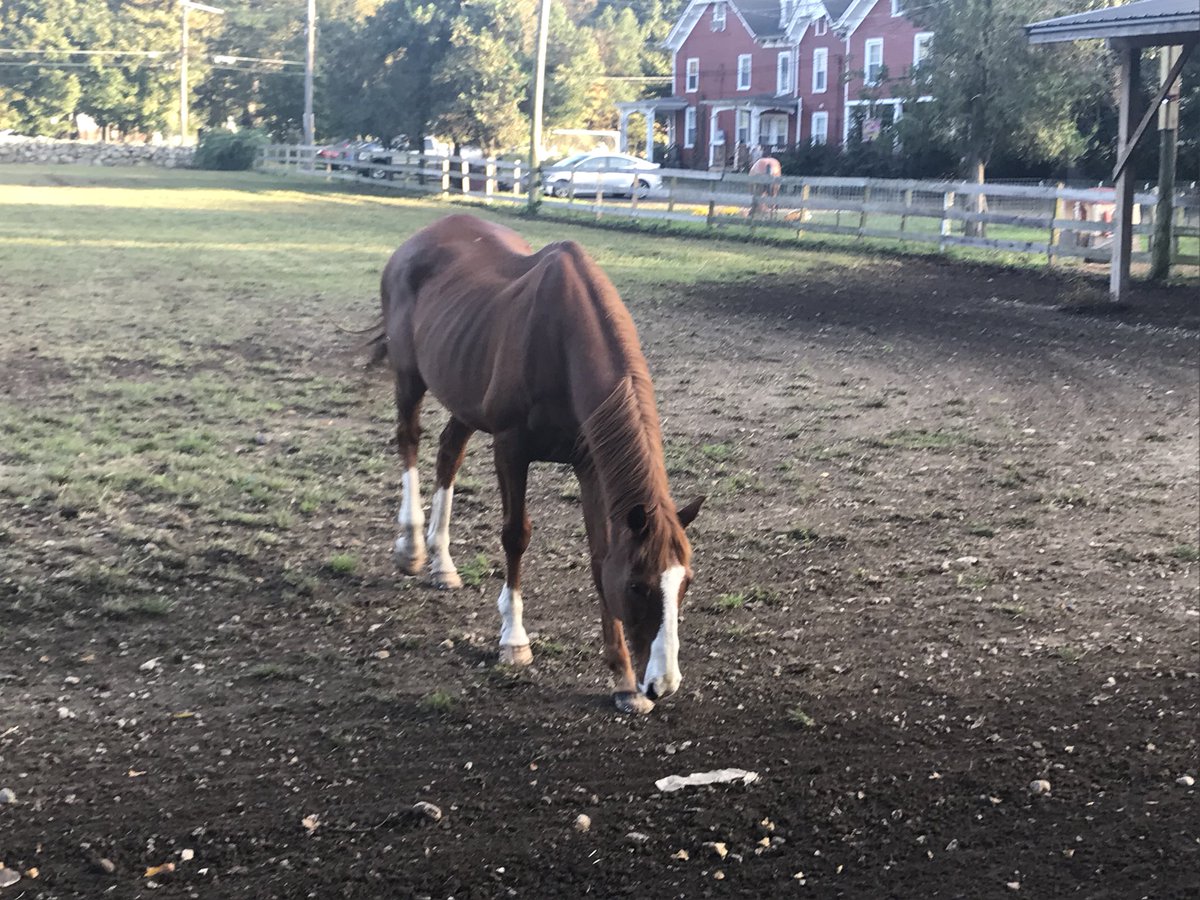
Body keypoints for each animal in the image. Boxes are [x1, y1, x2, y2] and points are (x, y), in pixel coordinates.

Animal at [363, 214, 703, 715]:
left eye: (684, 584)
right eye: (638, 586)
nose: (663, 683)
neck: (562, 342)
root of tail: (420, 237)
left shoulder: (589, 464)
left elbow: (600, 554)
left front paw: (622, 678)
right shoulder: (511, 448)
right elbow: (515, 536)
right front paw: (514, 640)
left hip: (465, 395)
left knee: (448, 452)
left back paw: (442, 563)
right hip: (410, 377)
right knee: (408, 441)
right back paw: (411, 548)